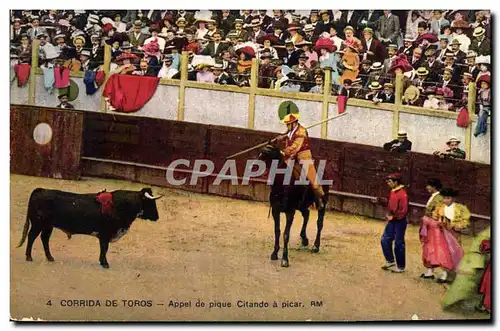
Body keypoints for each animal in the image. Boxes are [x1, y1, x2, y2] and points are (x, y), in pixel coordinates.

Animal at [16, 188, 162, 268]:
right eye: (151, 203)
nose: (157, 217)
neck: (120, 205)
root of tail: (41, 190)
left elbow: (104, 249)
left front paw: (102, 262)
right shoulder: (105, 234)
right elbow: (104, 248)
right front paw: (105, 263)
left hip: (48, 226)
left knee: (44, 238)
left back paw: (50, 257)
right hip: (38, 224)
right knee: (32, 236)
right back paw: (29, 257)